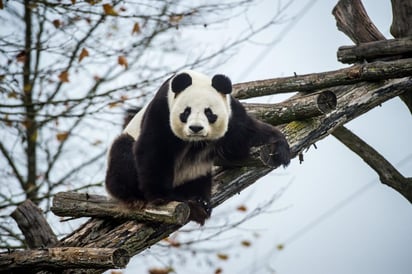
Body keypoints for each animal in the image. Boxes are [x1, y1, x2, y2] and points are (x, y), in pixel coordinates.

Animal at [104, 70, 290, 225]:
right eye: (186, 112)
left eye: (209, 112)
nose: (196, 128)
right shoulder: (162, 111)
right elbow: (153, 150)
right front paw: (161, 197)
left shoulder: (232, 115)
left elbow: (246, 135)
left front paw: (280, 148)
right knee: (122, 153)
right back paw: (136, 197)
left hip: (194, 172)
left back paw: (198, 201)